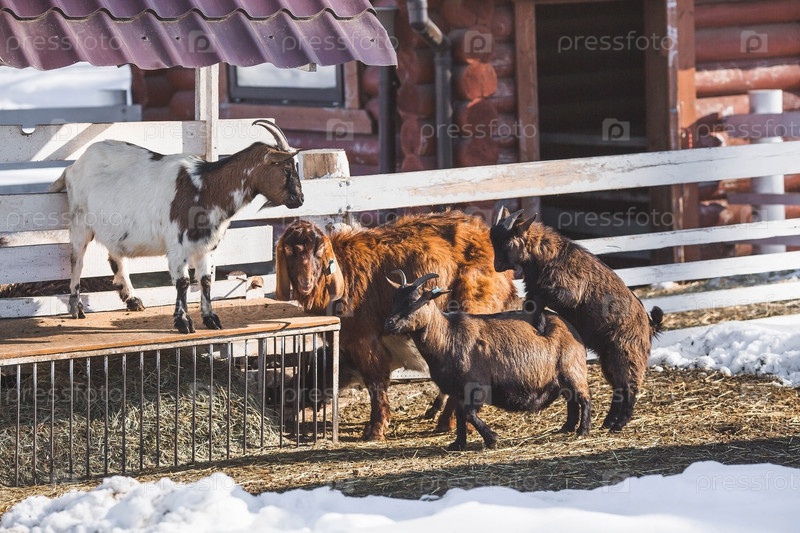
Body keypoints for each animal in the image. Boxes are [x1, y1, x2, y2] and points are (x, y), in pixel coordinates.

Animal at [49, 120, 303, 333]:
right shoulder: (178, 244)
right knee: (77, 260)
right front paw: (183, 322)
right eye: (286, 169)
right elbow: (183, 282)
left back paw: (132, 299)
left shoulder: (206, 246)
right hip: (80, 223)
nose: (299, 200)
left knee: (116, 257)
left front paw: (211, 319)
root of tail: (73, 166)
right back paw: (76, 307)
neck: (205, 187)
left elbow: (206, 280)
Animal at [275, 211, 518, 440]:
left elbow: (375, 384)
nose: (305, 283)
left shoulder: (365, 341)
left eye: (318, 252)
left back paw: (451, 422)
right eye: (289, 251)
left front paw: (376, 428)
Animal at [385, 271, 591, 451]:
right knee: (571, 399)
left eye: (414, 301)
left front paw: (492, 439)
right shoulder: (457, 391)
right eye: (395, 299)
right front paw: (458, 444)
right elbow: (461, 415)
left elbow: (469, 414)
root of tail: (569, 326)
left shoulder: (477, 386)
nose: (390, 323)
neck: (448, 336)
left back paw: (583, 430)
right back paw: (567, 427)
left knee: (584, 398)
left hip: (572, 369)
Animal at [490, 208, 664, 431]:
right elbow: (531, 303)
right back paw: (607, 422)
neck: (548, 255)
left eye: (508, 242)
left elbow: (538, 299)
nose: (497, 265)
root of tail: (650, 325)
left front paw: (540, 325)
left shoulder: (567, 291)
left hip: (626, 354)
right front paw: (539, 324)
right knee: (618, 388)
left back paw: (618, 424)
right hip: (609, 357)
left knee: (629, 389)